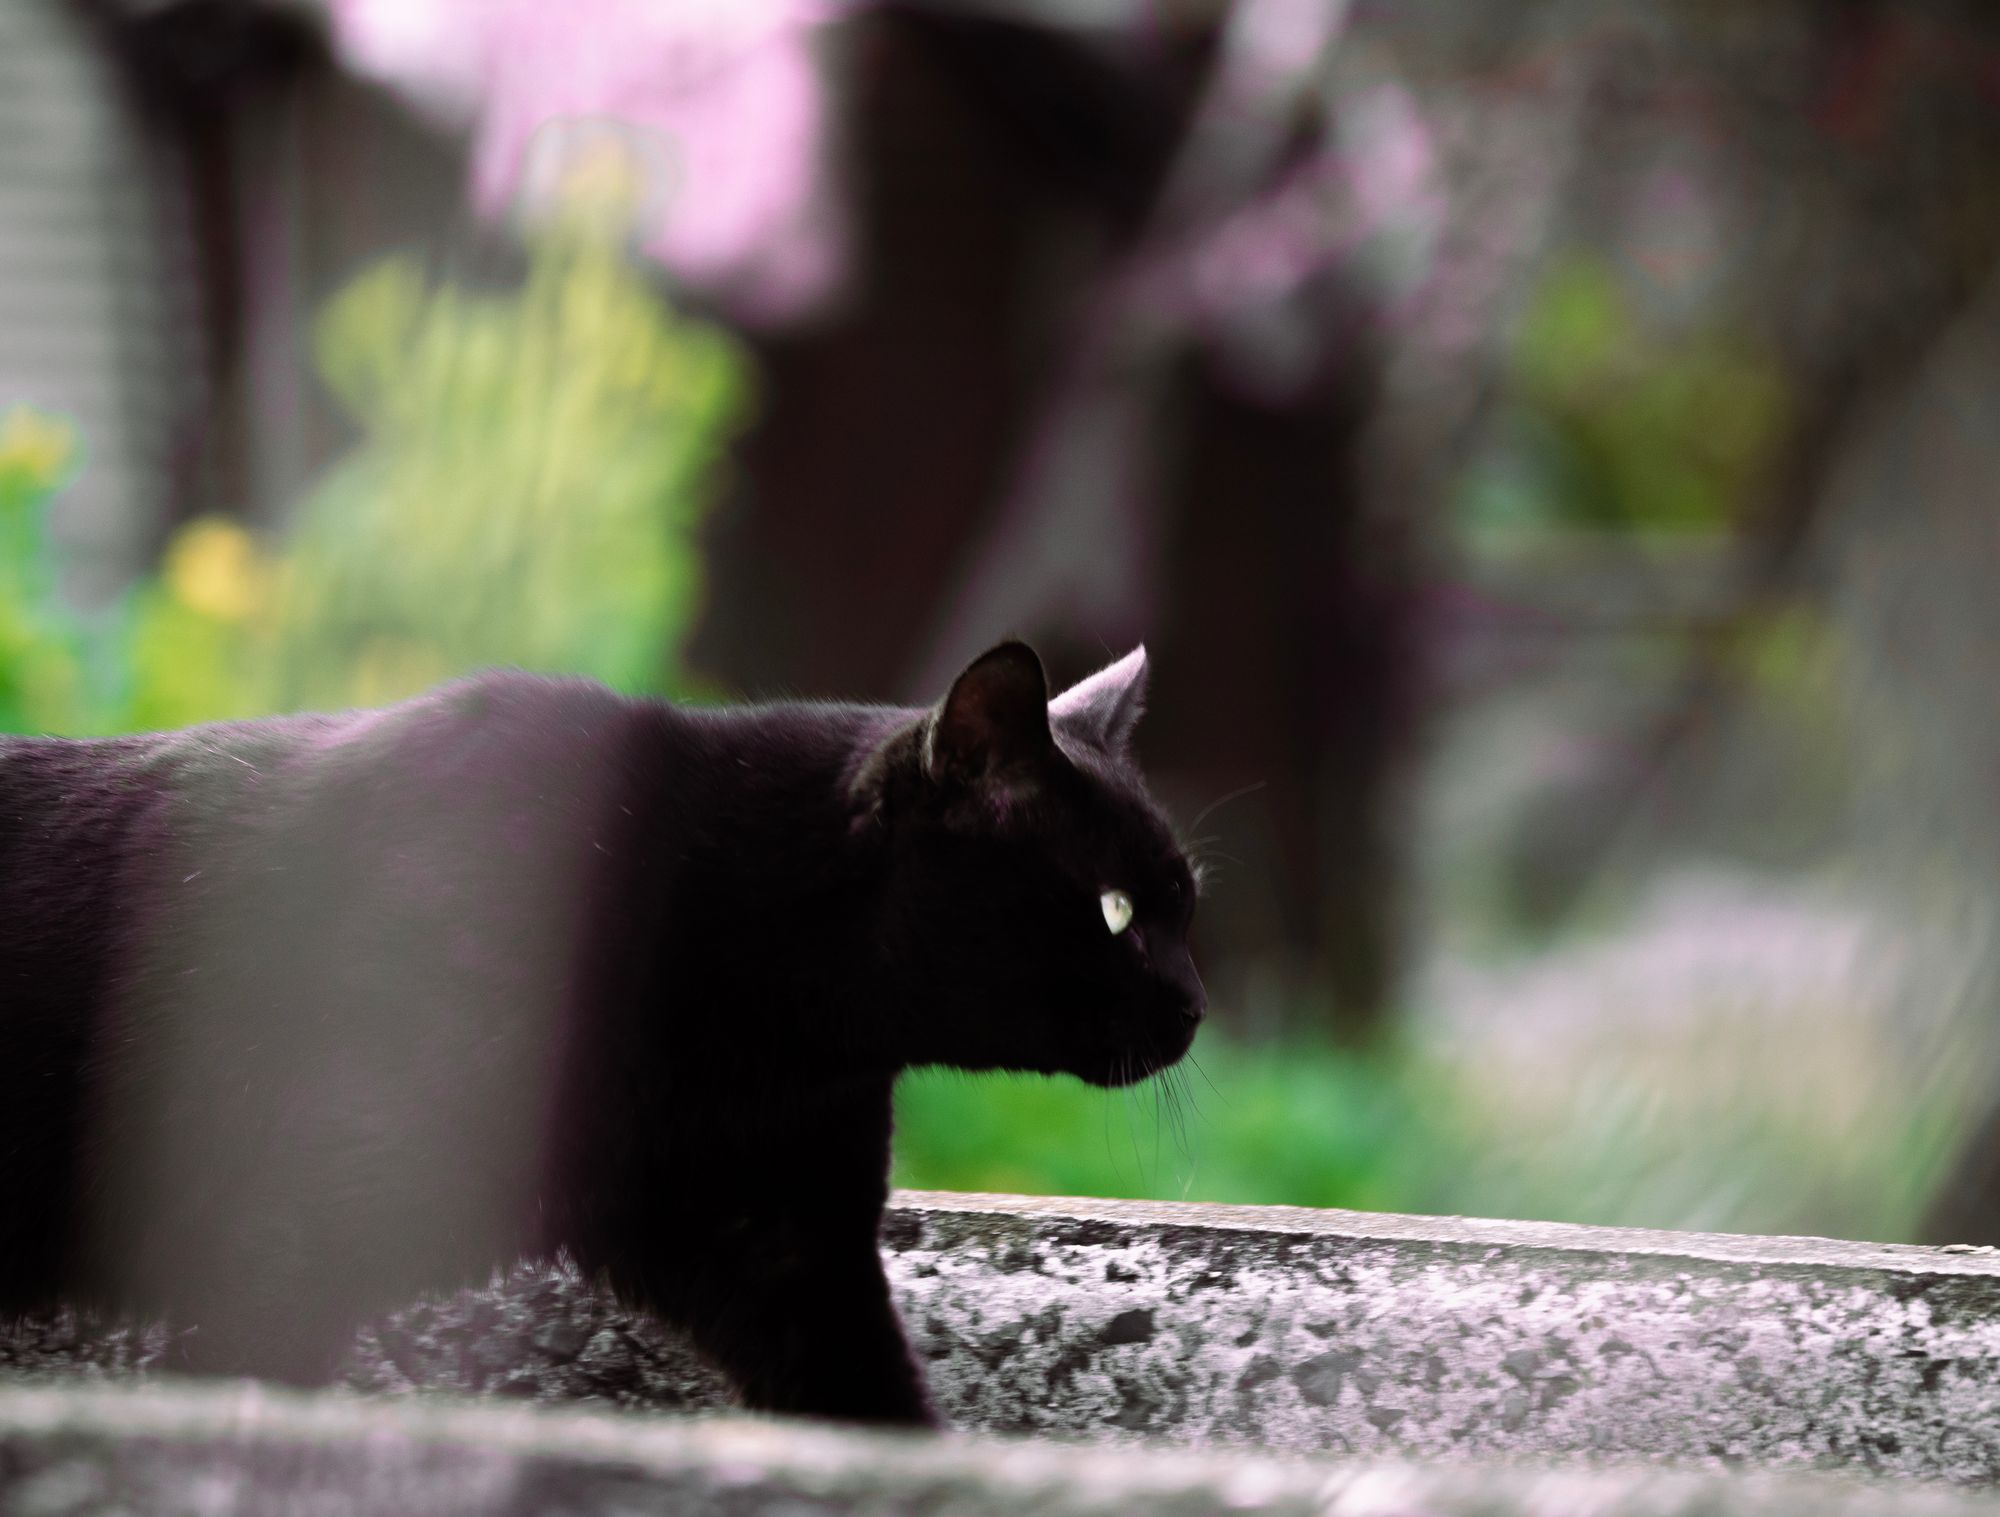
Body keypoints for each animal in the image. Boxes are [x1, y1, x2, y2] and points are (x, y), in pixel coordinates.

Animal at [0, 640, 1200, 1424]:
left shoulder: (779, 1235)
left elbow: (867, 1397)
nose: (1194, 1003)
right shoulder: (280, 1238)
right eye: (1113, 910)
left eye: (1187, 904)